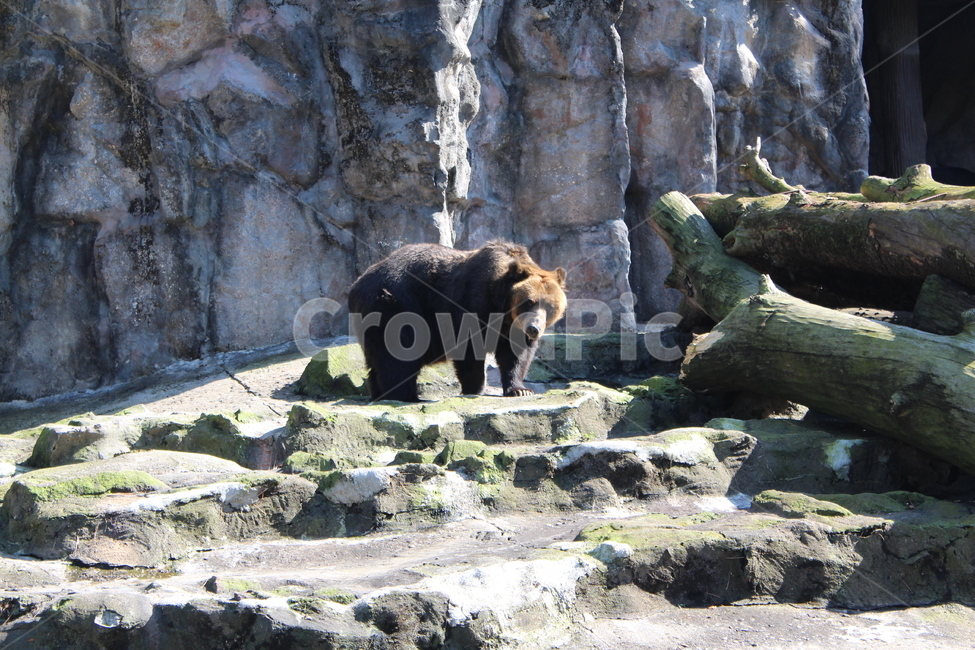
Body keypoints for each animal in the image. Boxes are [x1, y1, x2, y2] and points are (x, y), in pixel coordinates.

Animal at [348, 241, 567, 402]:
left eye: (550, 307)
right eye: (529, 301)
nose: (533, 328)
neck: (500, 307)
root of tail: (356, 285)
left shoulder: (512, 328)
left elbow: (516, 355)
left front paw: (519, 389)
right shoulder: (471, 303)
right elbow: (469, 350)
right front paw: (475, 387)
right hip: (394, 306)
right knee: (398, 355)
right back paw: (407, 396)